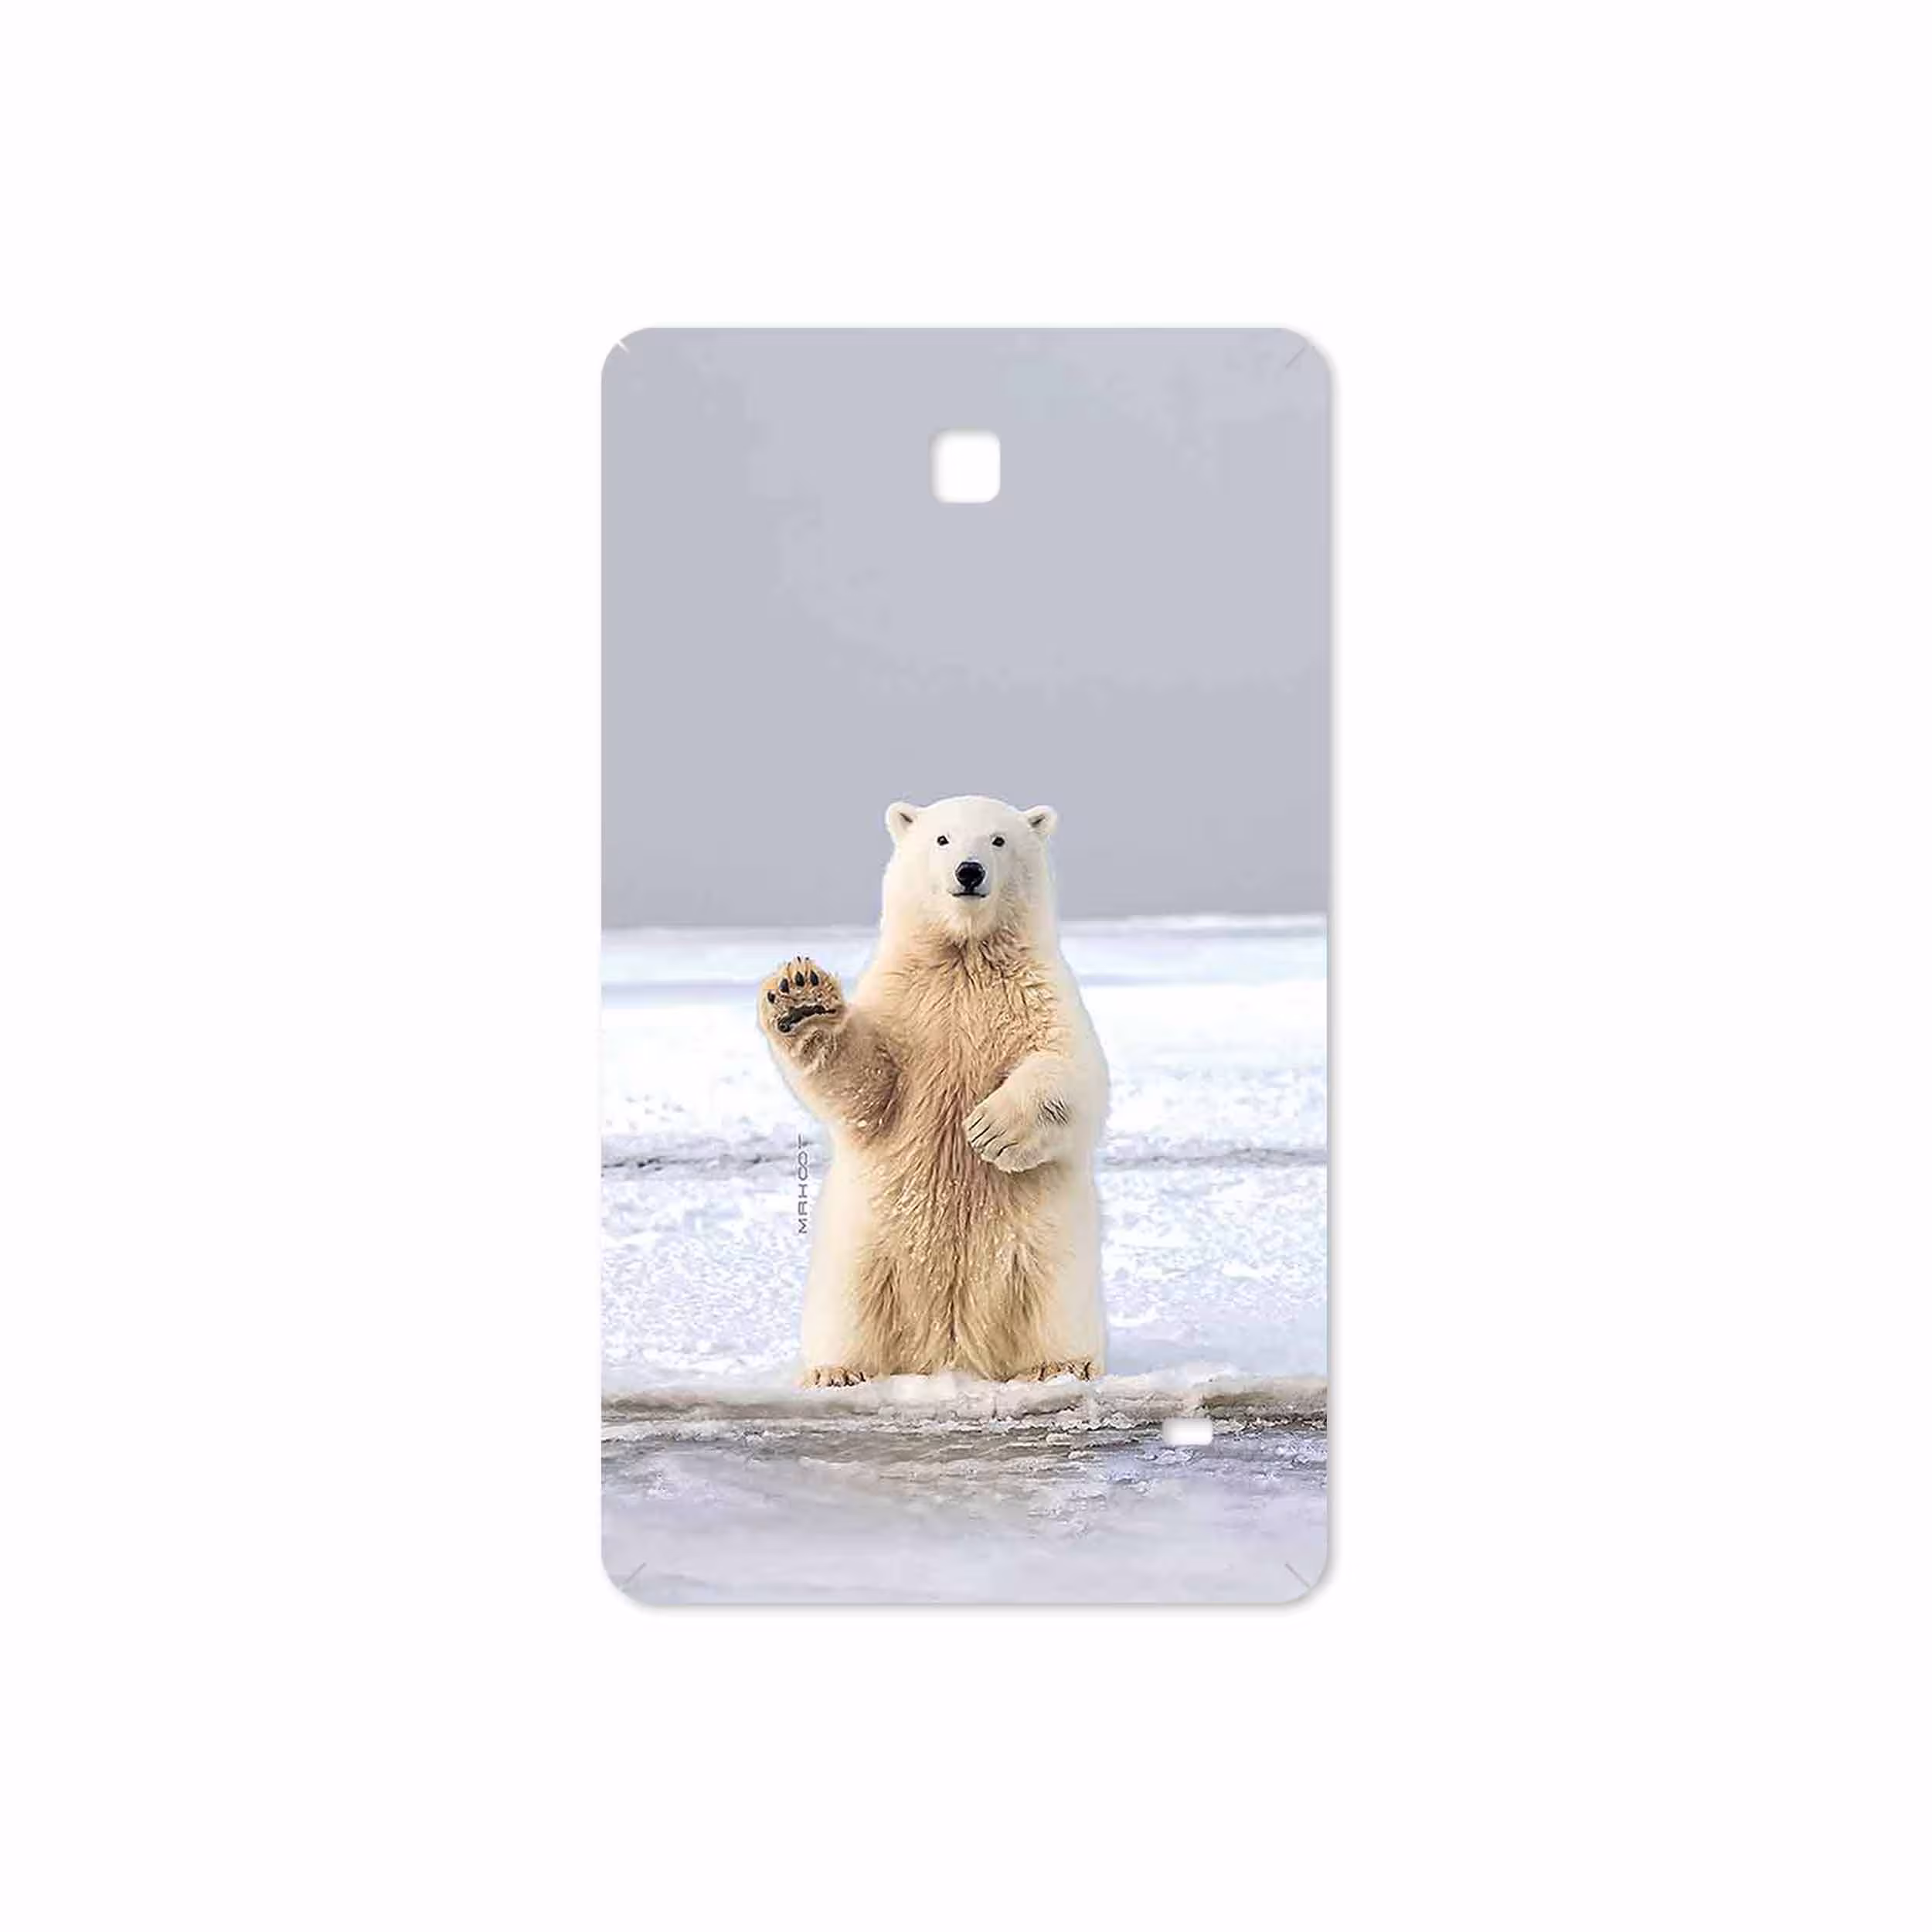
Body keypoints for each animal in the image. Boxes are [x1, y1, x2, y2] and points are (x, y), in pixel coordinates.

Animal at [758, 795, 1109, 1386]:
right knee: (848, 1306)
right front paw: (800, 999)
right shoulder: (905, 1003)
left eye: (998, 840)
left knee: (1054, 1297)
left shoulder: (1040, 994)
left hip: (1049, 1247)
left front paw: (990, 1129)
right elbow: (867, 1084)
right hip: (863, 1247)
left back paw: (1061, 1365)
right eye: (942, 839)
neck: (964, 956)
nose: (969, 872)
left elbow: (1073, 1071)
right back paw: (836, 1371)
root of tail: (950, 1351)